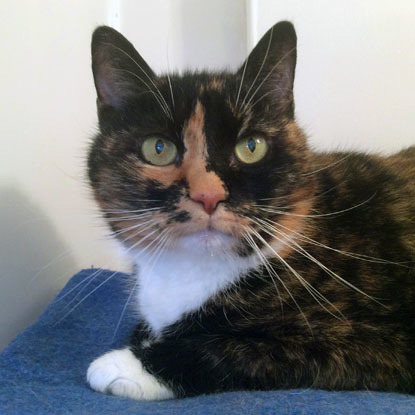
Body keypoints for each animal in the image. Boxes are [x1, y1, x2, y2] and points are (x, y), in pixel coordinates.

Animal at [85, 21, 415, 402]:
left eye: (251, 147)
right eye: (158, 148)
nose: (208, 195)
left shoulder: (376, 339)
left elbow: (244, 346)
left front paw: (127, 366)